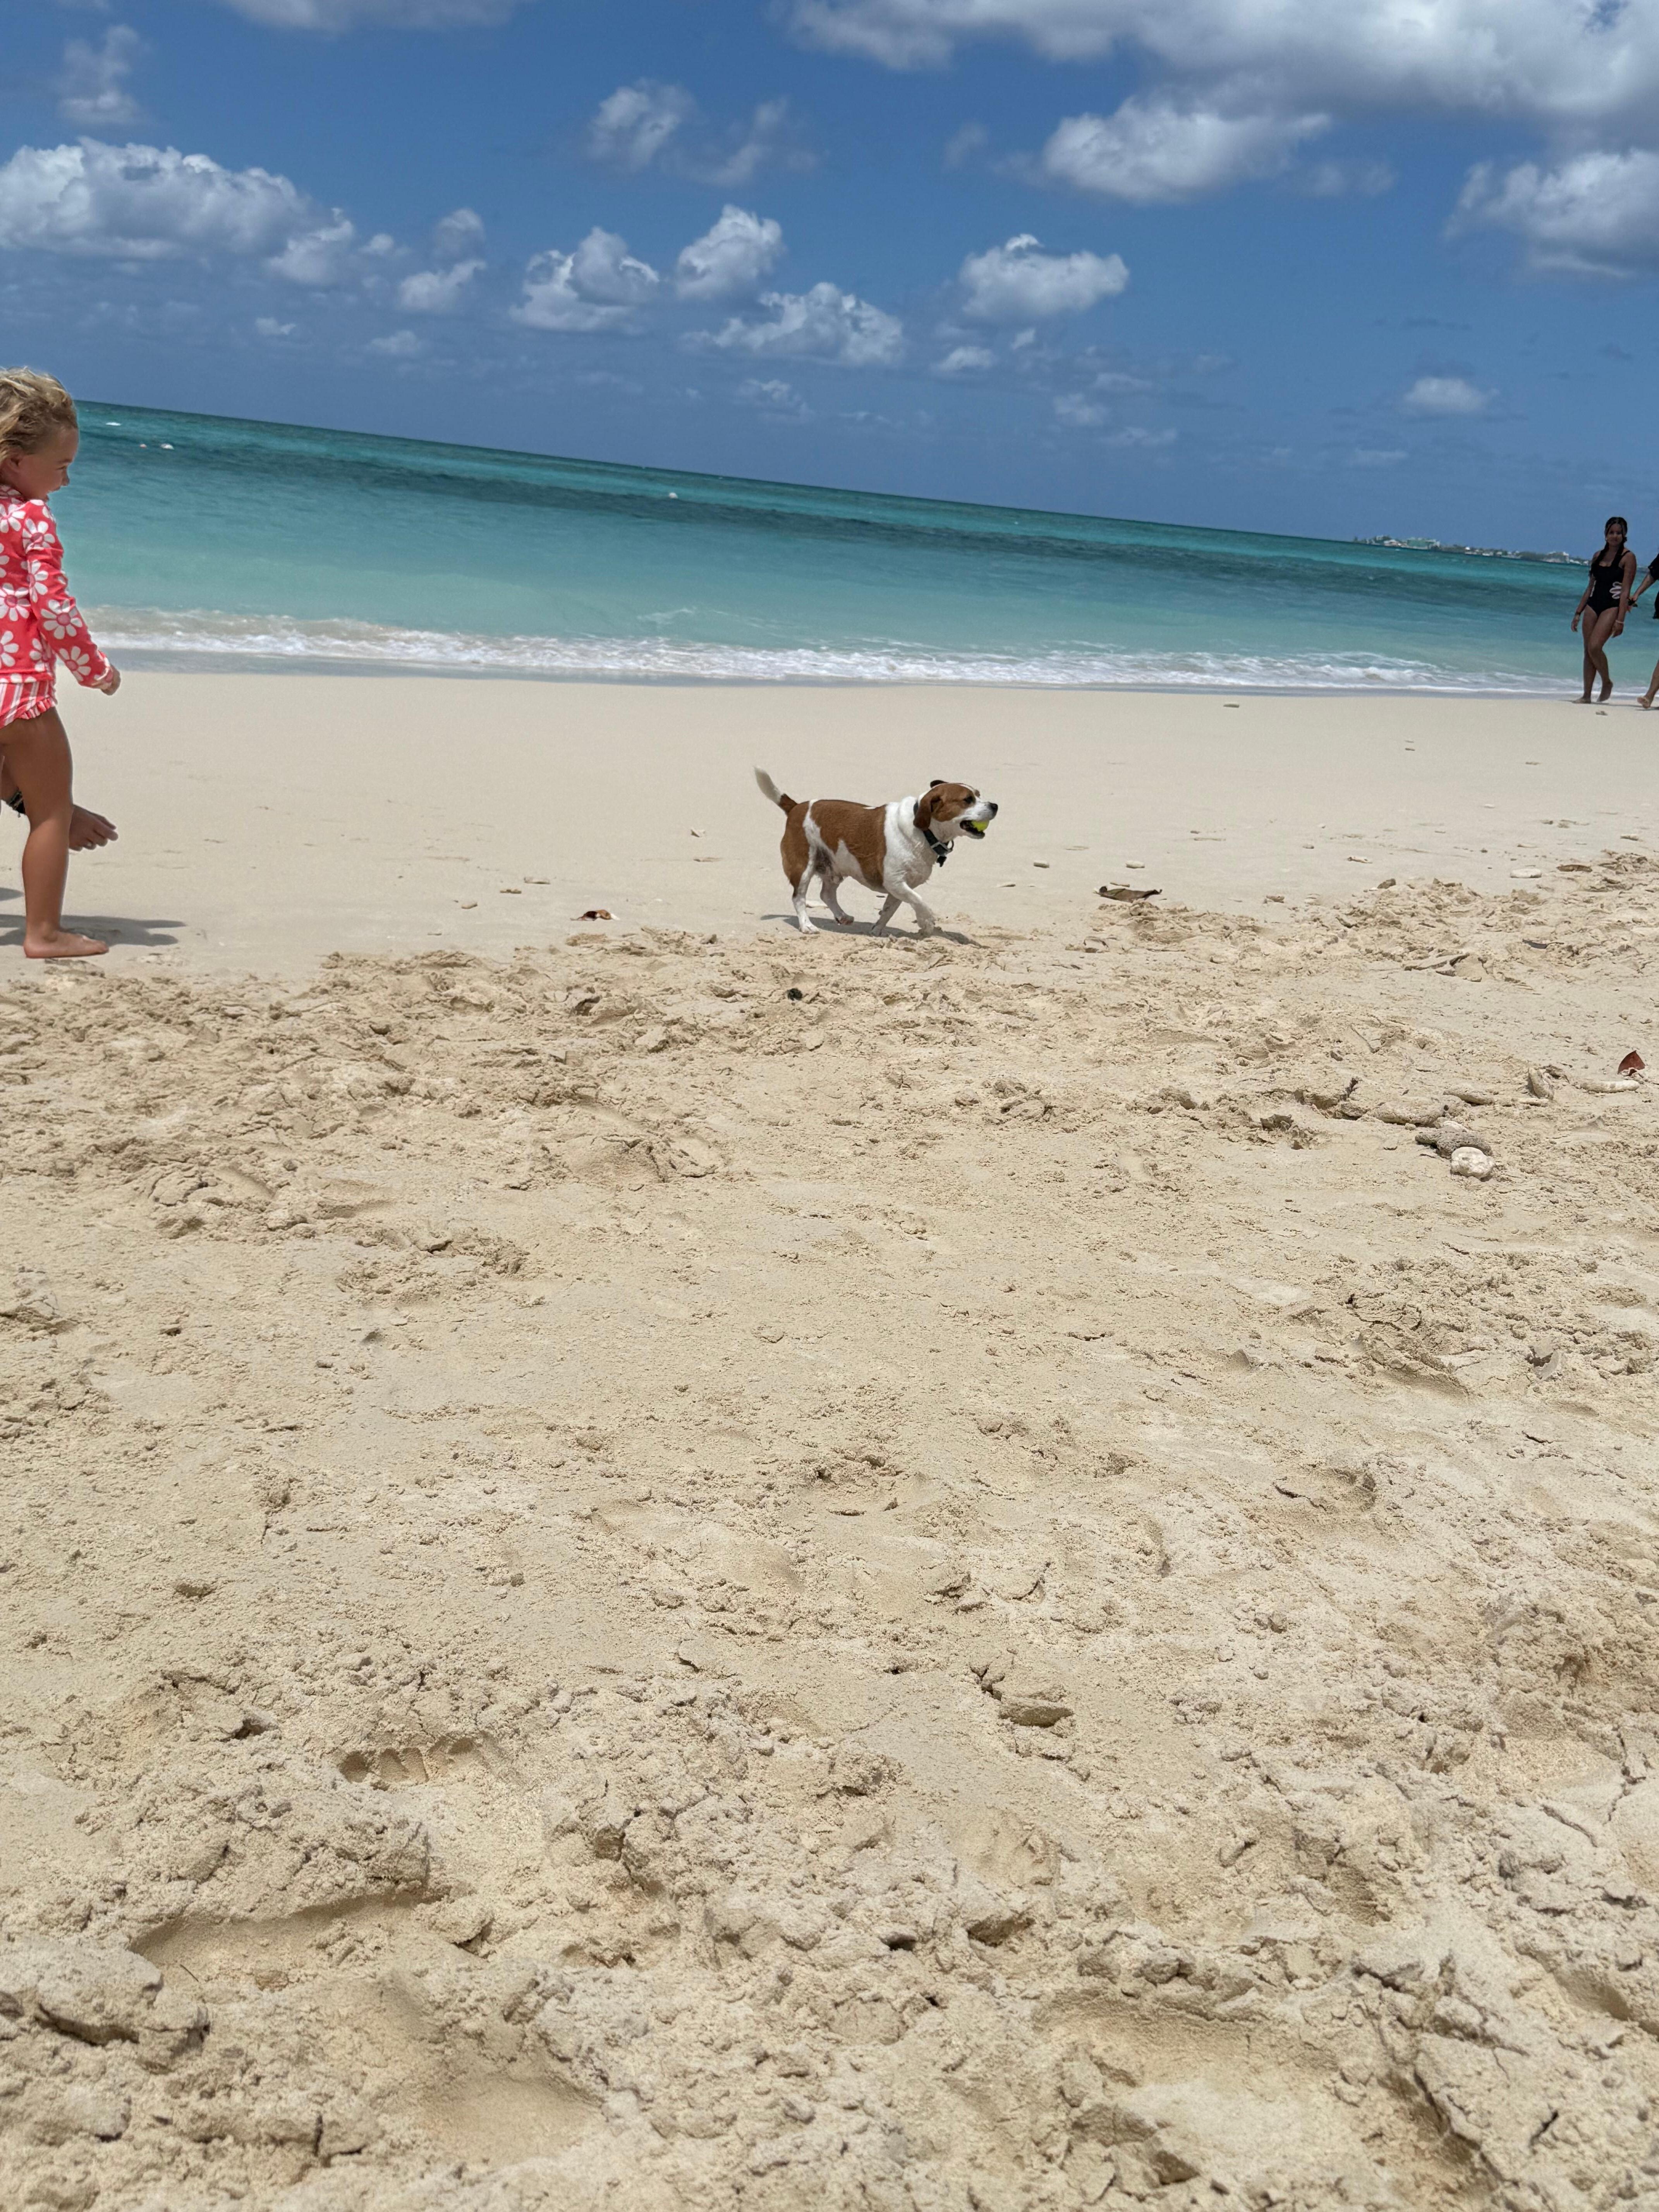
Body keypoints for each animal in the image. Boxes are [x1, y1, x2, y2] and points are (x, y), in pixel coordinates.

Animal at [755, 770, 997, 936]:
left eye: (979, 795)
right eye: (968, 800)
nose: (995, 805)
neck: (924, 830)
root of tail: (796, 807)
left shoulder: (900, 886)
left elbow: (890, 909)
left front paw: (878, 931)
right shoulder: (895, 882)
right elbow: (919, 901)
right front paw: (927, 922)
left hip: (836, 866)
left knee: (827, 894)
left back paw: (842, 916)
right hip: (803, 866)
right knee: (799, 897)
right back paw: (807, 925)